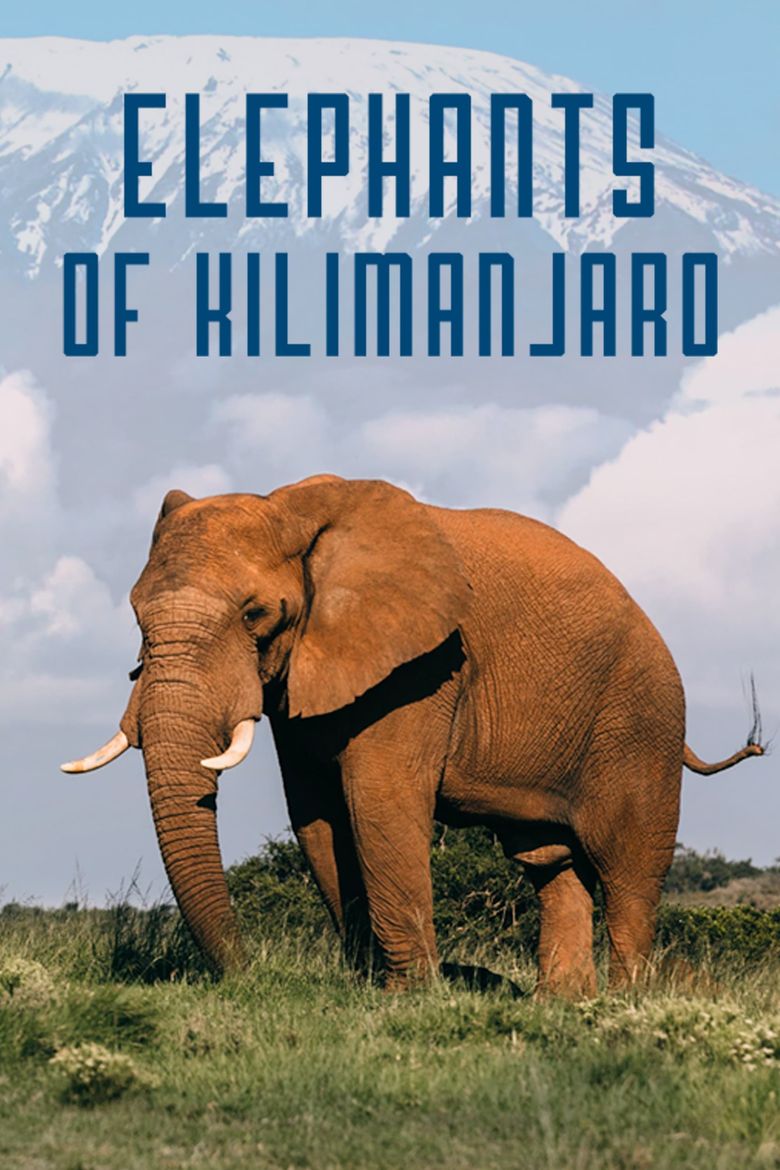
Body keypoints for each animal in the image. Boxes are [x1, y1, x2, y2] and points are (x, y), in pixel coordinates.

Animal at [62, 475, 764, 996]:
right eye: (135, 615)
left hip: (641, 719)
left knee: (628, 868)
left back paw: (626, 1004)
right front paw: (367, 987)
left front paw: (409, 997)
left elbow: (380, 800)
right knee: (551, 863)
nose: (245, 975)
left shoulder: (424, 666)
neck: (293, 510)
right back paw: (561, 1006)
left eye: (256, 614)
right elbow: (316, 813)